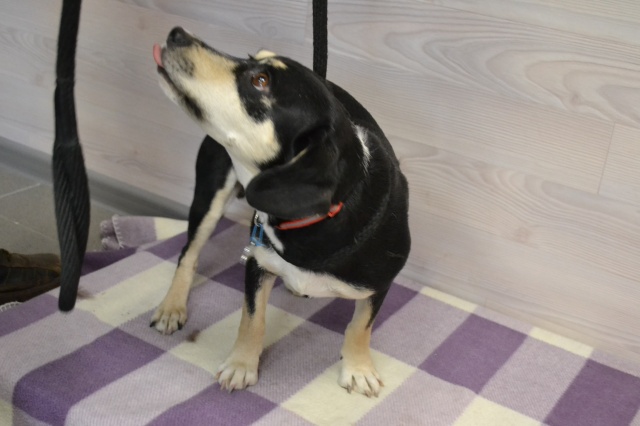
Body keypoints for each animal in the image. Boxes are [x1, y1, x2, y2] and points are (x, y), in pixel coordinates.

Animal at [150, 27, 411, 397]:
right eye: (251, 59)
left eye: (259, 81)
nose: (177, 33)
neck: (326, 216)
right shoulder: (257, 262)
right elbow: (252, 320)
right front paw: (241, 365)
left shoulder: (379, 283)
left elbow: (360, 327)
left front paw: (358, 369)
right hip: (210, 192)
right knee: (189, 252)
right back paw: (172, 306)